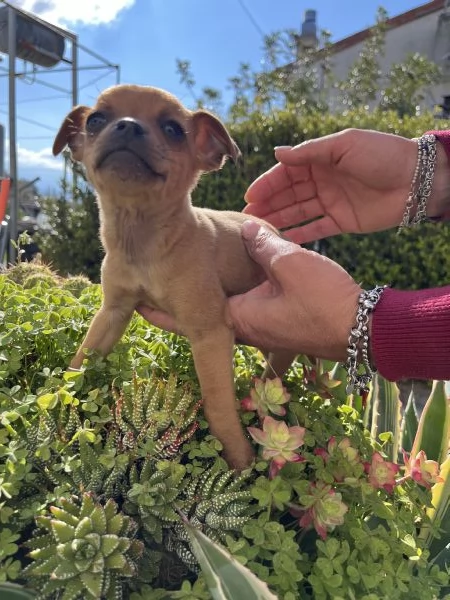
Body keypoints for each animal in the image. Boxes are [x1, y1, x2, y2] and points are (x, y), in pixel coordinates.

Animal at [52, 83, 298, 468]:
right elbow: (82, 358)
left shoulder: (210, 335)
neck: (144, 239)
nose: (127, 125)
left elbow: (218, 404)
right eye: (95, 121)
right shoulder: (112, 313)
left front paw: (240, 459)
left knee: (275, 371)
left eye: (173, 130)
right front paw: (59, 394)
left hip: (279, 345)